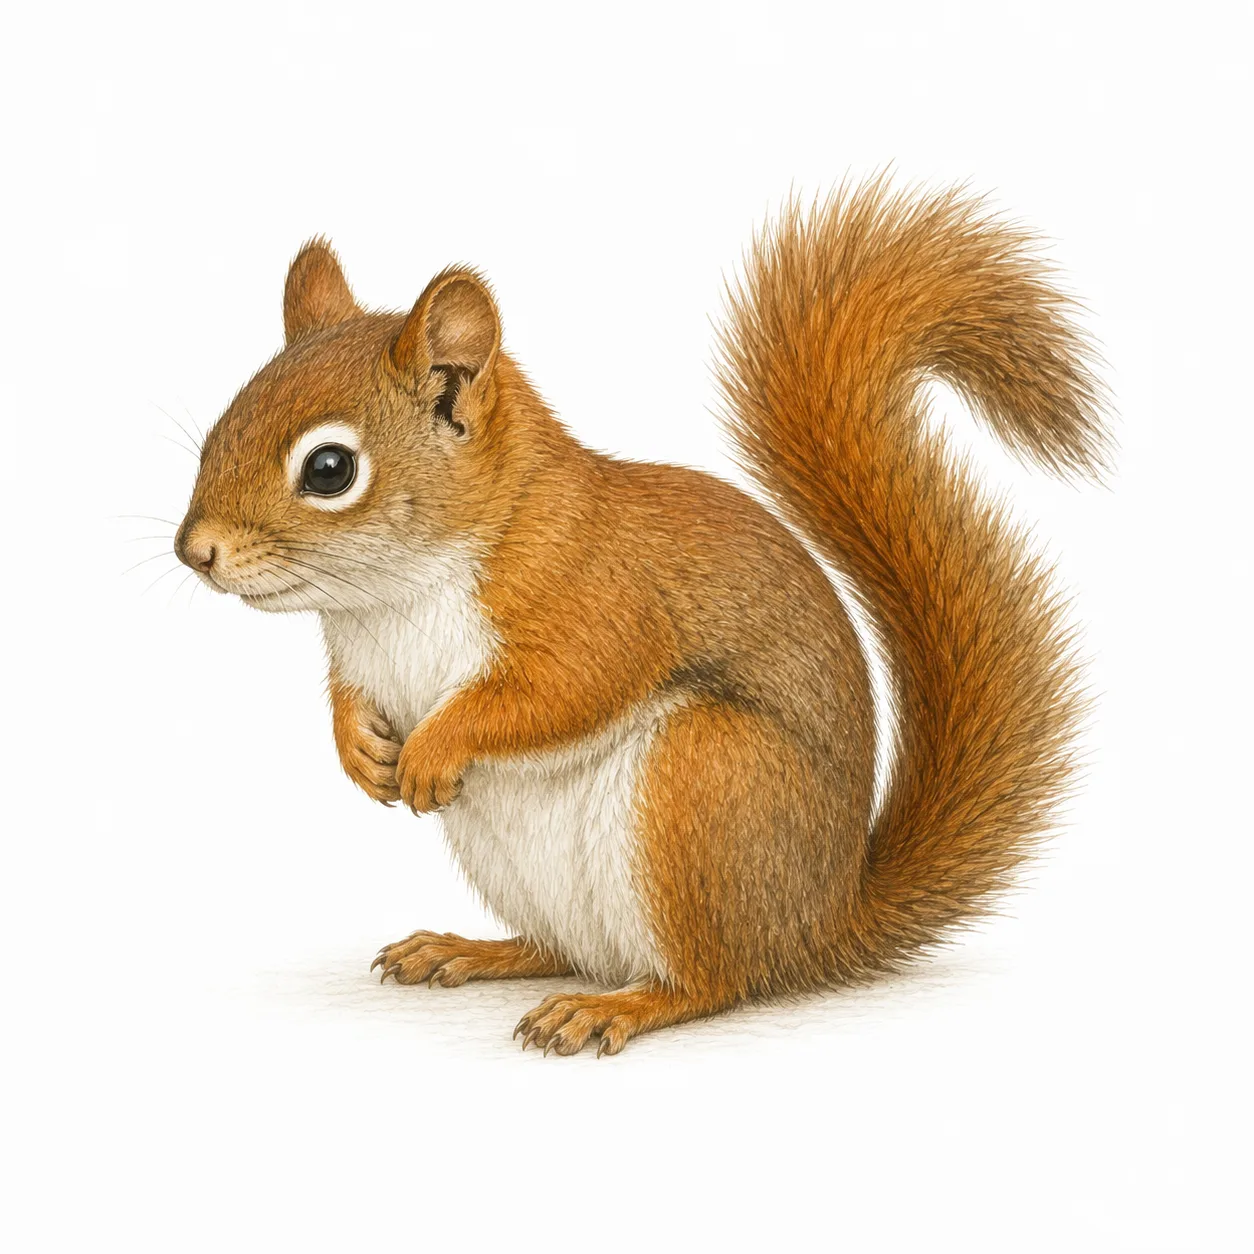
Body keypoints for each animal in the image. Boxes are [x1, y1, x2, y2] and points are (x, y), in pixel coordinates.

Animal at [174, 178, 1109, 1057]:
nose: (194, 551)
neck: (391, 598)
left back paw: (610, 1007)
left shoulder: (598, 601)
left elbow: (560, 692)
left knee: (709, 980)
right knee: (563, 947)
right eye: (223, 422)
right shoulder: (362, 657)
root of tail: (817, 927)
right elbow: (348, 700)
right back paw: (468, 951)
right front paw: (360, 753)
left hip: (699, 786)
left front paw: (435, 748)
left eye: (329, 469)